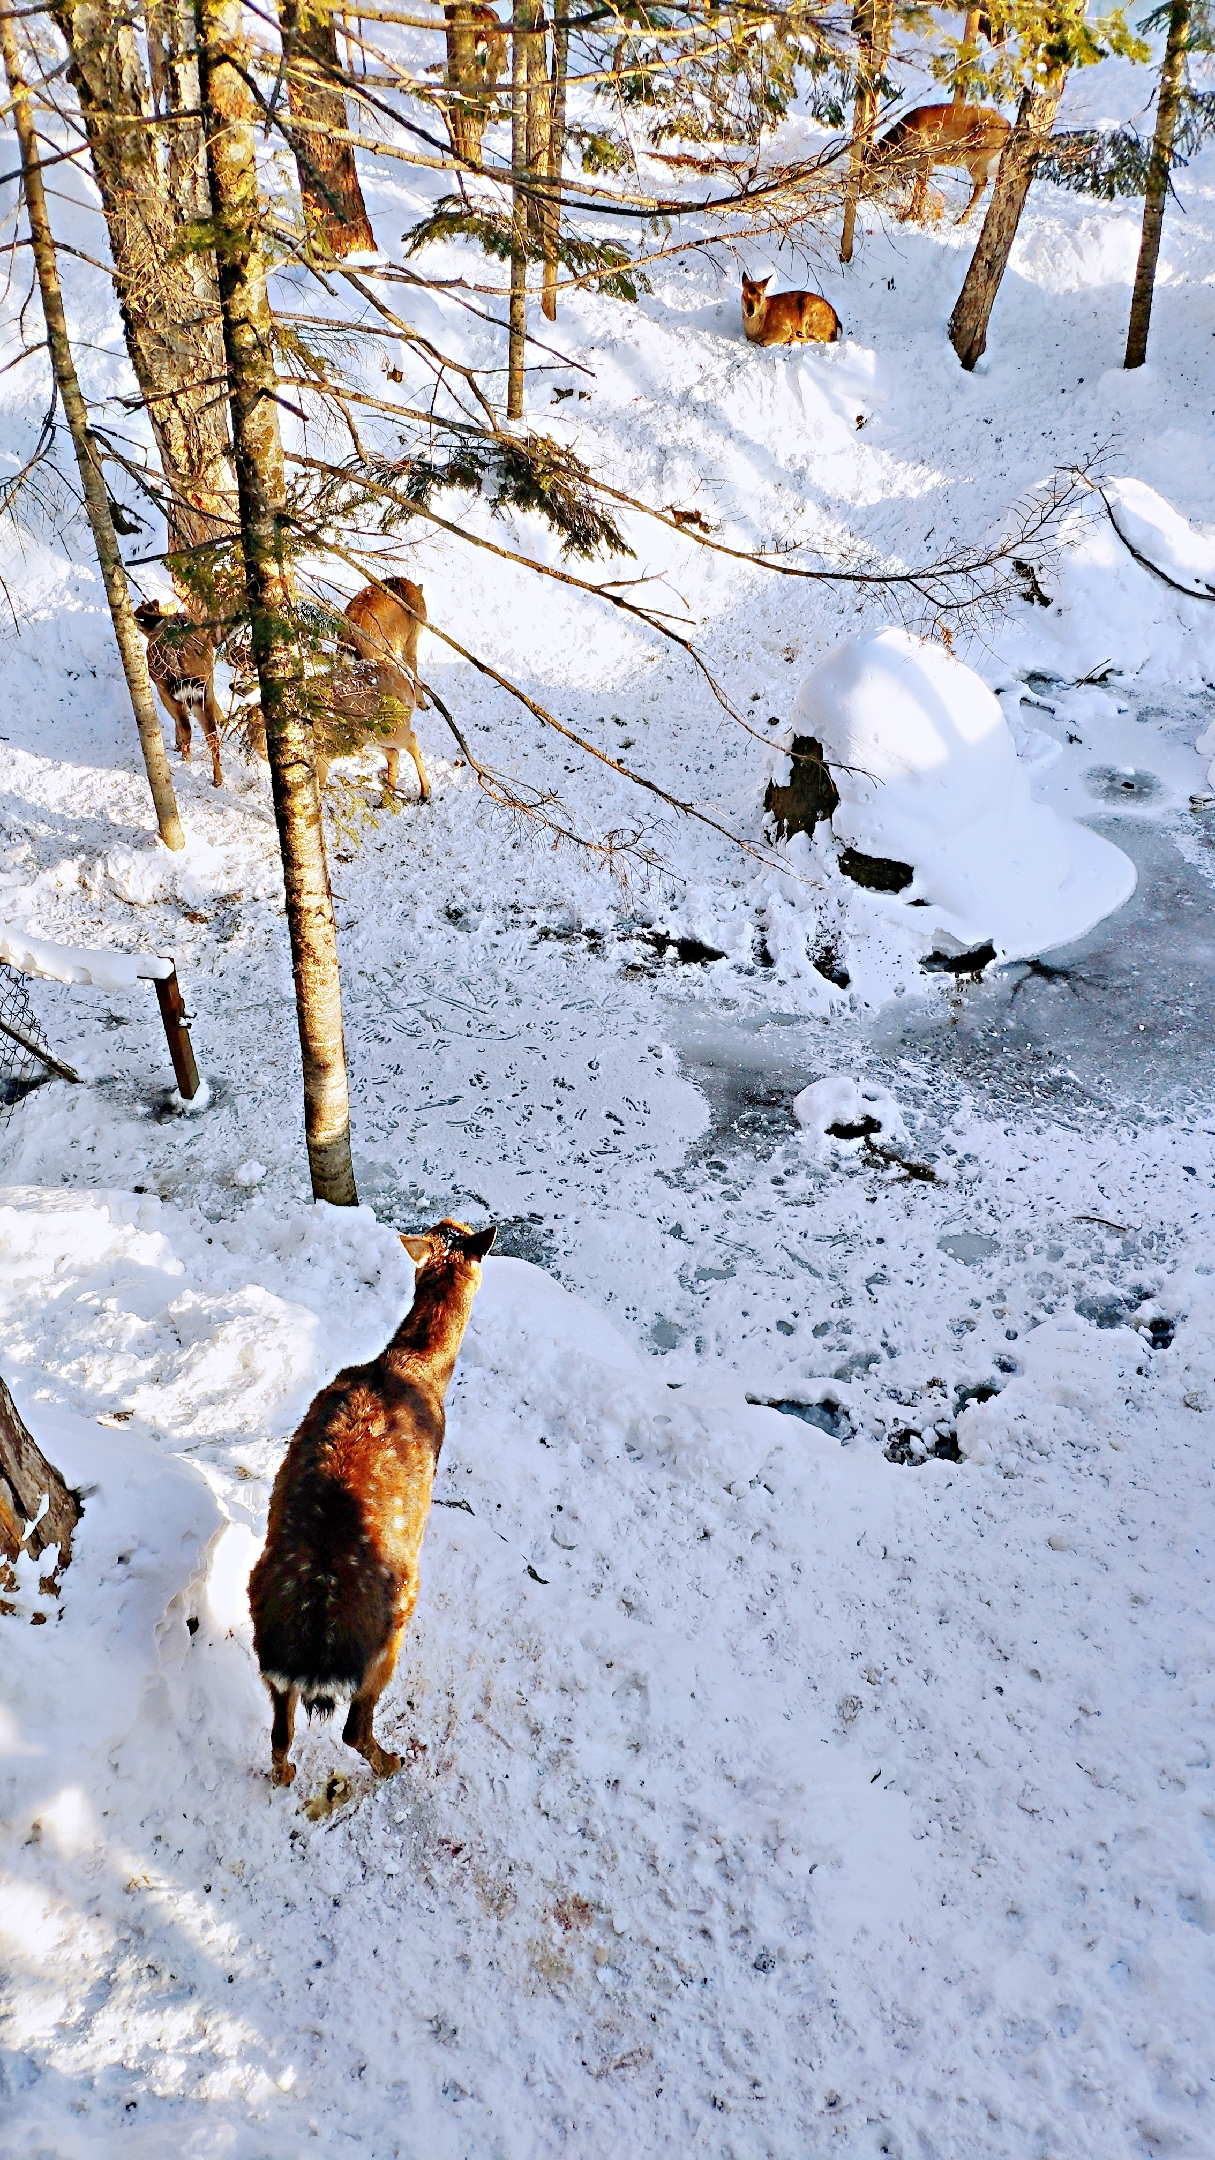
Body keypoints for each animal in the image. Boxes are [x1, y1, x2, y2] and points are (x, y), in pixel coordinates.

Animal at [133, 596, 223, 790]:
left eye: (139, 610)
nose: (134, 614)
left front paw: (177, 744)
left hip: (167, 690)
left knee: (185, 725)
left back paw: (184, 756)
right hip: (202, 693)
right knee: (212, 736)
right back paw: (217, 779)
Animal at [248, 1218, 495, 1788]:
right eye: (464, 1229)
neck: (414, 1368)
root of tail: (313, 1646)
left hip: (262, 1635)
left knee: (279, 1733)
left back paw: (285, 1775)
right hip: (392, 1622)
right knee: (352, 1728)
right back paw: (392, 1763)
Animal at [864, 101, 1007, 225]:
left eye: (868, 169)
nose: (862, 187)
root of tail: (1008, 127)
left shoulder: (926, 160)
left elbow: (920, 191)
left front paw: (913, 217)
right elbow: (917, 189)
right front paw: (911, 215)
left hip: (977, 158)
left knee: (982, 182)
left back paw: (961, 220)